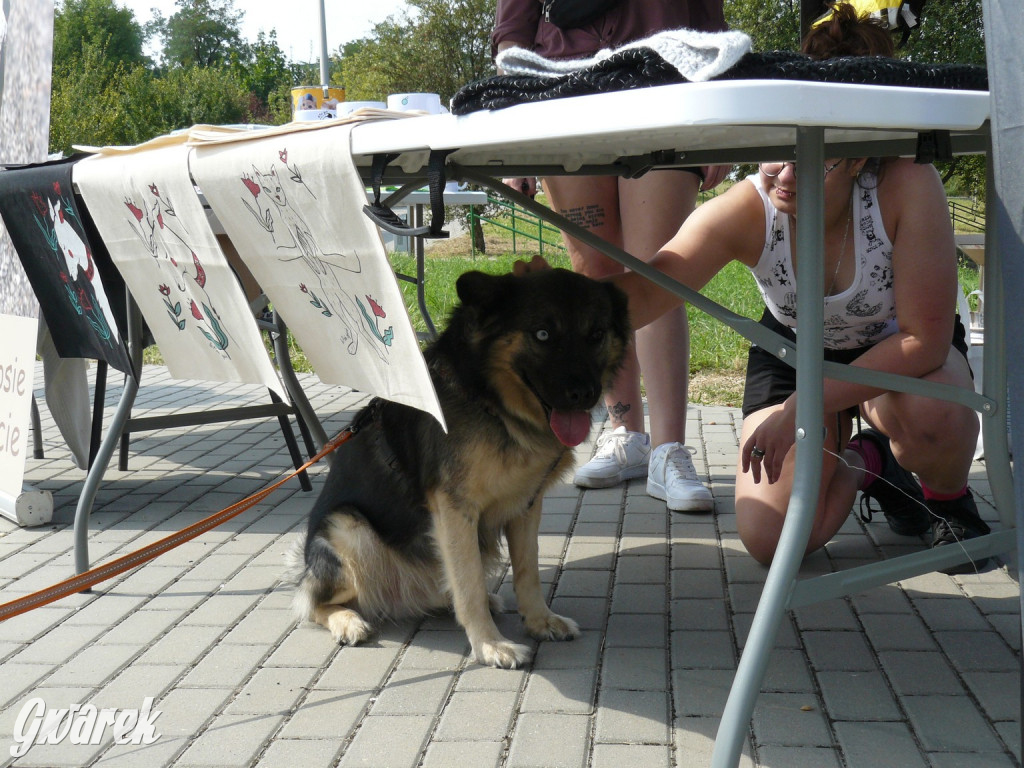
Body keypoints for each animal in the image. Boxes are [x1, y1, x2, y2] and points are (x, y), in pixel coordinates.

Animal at [284, 268, 626, 671]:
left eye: (596, 334)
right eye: (542, 334)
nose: (585, 394)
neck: (490, 400)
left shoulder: (526, 506)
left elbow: (527, 571)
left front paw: (540, 621)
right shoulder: (454, 510)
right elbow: (469, 583)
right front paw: (490, 644)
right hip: (348, 529)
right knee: (313, 602)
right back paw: (347, 621)